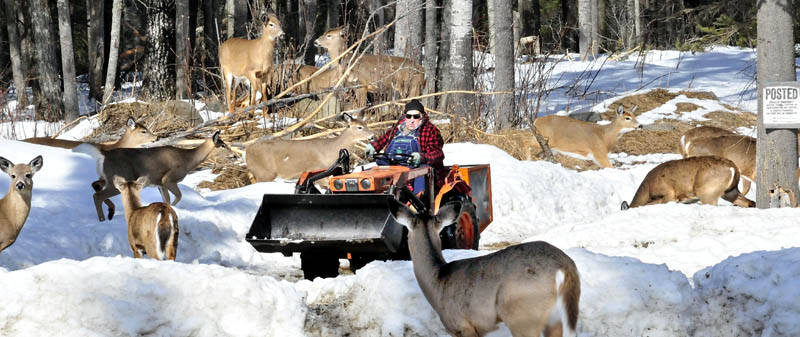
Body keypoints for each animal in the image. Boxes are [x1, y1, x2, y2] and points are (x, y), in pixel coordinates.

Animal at [81, 131, 230, 220]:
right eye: (222, 145)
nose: (234, 154)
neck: (188, 160)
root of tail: (104, 154)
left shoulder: (160, 183)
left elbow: (166, 200)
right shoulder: (168, 178)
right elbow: (178, 196)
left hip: (106, 177)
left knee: (95, 185)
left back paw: (111, 212)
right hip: (118, 178)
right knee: (97, 195)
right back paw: (103, 218)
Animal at [247, 113, 376, 182]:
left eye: (366, 124)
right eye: (359, 127)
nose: (372, 136)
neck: (329, 151)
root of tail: (246, 151)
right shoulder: (315, 169)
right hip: (265, 173)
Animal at [386, 200, 580, 336]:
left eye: (406, 234)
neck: (437, 280)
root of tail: (565, 267)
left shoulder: (461, 325)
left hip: (523, 314)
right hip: (554, 317)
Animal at [620, 156, 756, 209]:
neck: (647, 189)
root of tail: (733, 167)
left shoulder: (667, 193)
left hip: (707, 191)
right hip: (729, 191)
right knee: (750, 202)